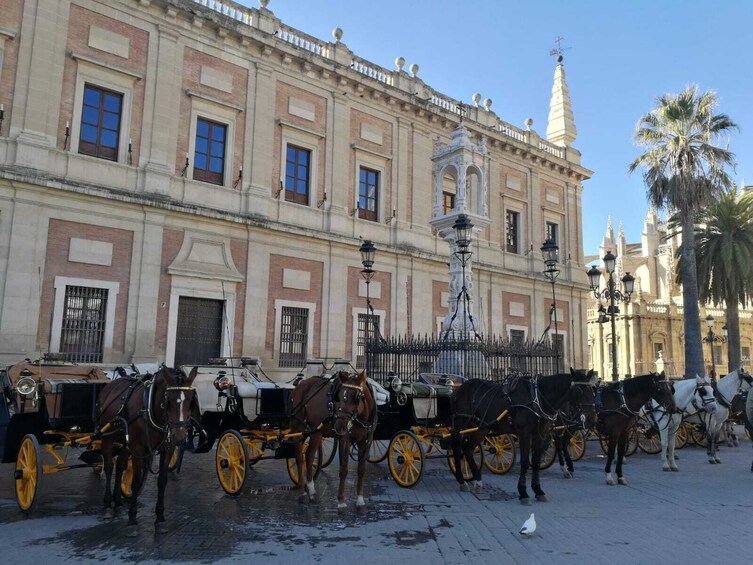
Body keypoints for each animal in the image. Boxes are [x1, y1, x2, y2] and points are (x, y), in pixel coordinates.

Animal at [97, 364, 197, 536]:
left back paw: (118, 502)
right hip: (107, 437)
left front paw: (160, 518)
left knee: (120, 466)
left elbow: (162, 481)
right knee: (109, 467)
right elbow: (136, 481)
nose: (179, 437)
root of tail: (110, 385)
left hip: (124, 441)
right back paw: (108, 505)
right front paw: (132, 520)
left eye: (191, 400)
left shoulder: (167, 448)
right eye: (168, 400)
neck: (150, 408)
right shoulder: (138, 448)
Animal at [288, 368, 376, 512]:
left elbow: (361, 469)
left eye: (356, 396)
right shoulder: (345, 440)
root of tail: (299, 385)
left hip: (316, 431)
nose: (340, 425)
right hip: (298, 427)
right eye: (339, 396)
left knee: (309, 455)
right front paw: (341, 502)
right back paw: (302, 492)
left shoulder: (366, 441)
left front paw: (360, 501)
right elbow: (343, 470)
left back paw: (312, 491)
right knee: (299, 457)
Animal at [450, 370, 596, 502]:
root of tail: (459, 389)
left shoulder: (539, 434)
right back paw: (461, 480)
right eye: (579, 391)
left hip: (481, 428)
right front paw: (523, 492)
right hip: (460, 424)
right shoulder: (524, 433)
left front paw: (538, 490)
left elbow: (536, 461)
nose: (591, 418)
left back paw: (477, 480)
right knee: (456, 447)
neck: (536, 397)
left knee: (467, 448)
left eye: (592, 391)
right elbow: (525, 462)